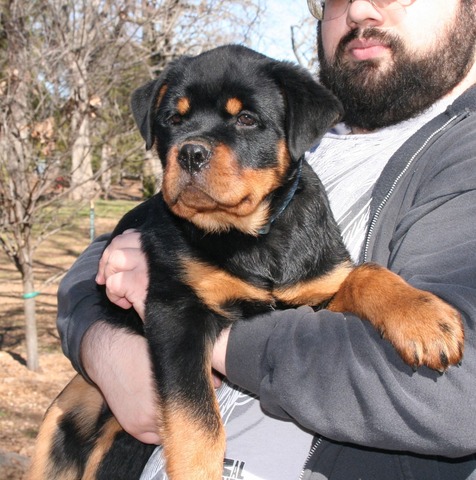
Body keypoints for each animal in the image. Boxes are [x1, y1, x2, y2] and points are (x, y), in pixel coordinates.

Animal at [27, 45, 464, 480]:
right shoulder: (175, 310)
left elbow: (364, 274)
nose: (190, 152)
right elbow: (197, 421)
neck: (248, 237)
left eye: (247, 119)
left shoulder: (312, 293)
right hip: (60, 429)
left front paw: (425, 318)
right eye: (173, 119)